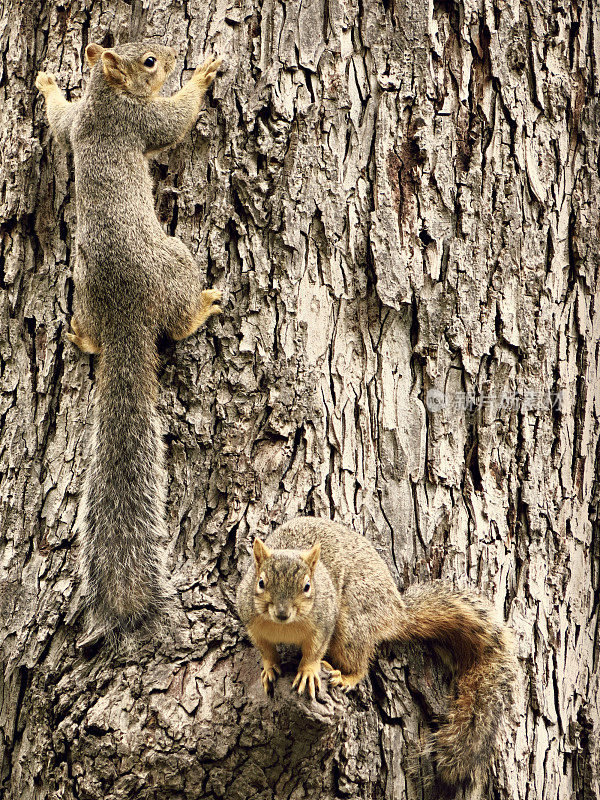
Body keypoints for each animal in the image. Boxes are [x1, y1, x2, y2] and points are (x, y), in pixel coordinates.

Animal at [37, 42, 225, 644]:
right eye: (148, 62)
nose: (173, 50)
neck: (104, 99)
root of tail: (124, 320)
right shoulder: (140, 122)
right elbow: (174, 121)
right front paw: (202, 76)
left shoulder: (76, 123)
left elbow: (58, 120)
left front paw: (48, 85)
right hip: (176, 261)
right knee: (180, 319)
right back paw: (203, 307)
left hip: (87, 301)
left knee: (93, 338)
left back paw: (81, 337)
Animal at [237, 516, 516, 784]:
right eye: (260, 582)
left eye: (307, 586)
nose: (282, 613)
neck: (285, 627)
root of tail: (396, 613)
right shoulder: (252, 622)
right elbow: (265, 649)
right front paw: (270, 667)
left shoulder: (324, 622)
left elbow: (314, 651)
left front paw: (307, 671)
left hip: (351, 624)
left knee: (360, 660)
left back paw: (347, 677)